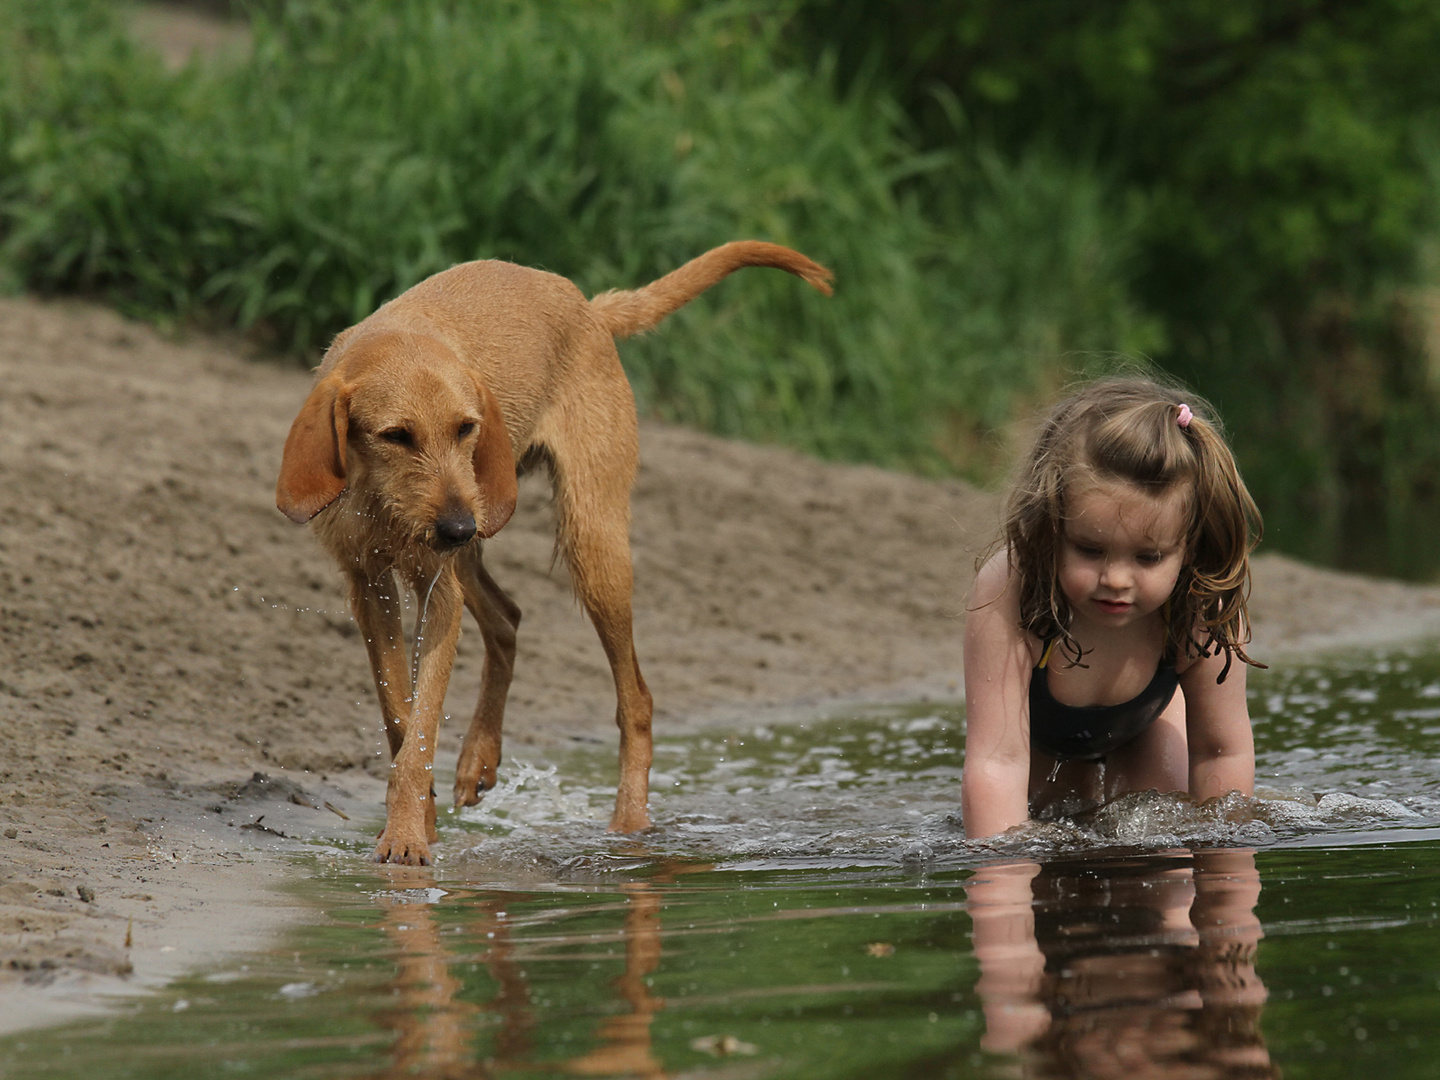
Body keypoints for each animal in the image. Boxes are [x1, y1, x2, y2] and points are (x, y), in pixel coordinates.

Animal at [275, 240, 835, 869]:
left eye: (465, 428)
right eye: (396, 436)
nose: (456, 527)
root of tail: (589, 306)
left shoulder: (437, 592)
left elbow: (418, 731)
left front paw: (407, 838)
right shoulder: (371, 587)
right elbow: (401, 719)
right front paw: (419, 823)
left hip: (586, 545)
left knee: (636, 701)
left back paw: (628, 828)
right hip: (487, 535)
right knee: (508, 619)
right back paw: (480, 756)